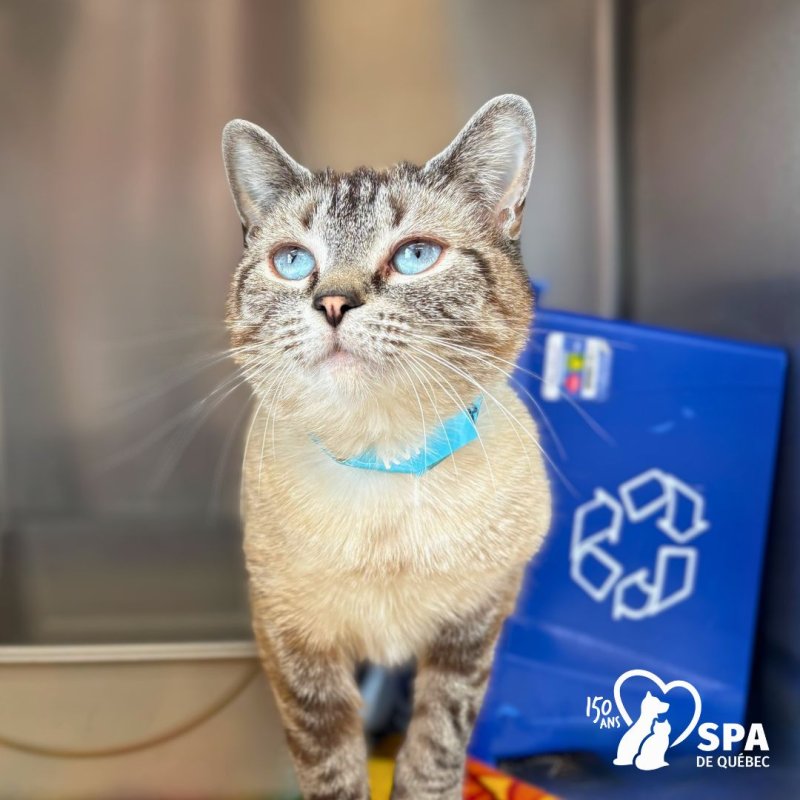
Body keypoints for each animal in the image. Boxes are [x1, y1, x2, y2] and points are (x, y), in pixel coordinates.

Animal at [221, 94, 551, 800]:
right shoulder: (295, 643)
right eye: (293, 261)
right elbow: (331, 764)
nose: (332, 303)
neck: (385, 463)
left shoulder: (471, 629)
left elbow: (436, 747)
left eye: (416, 255)